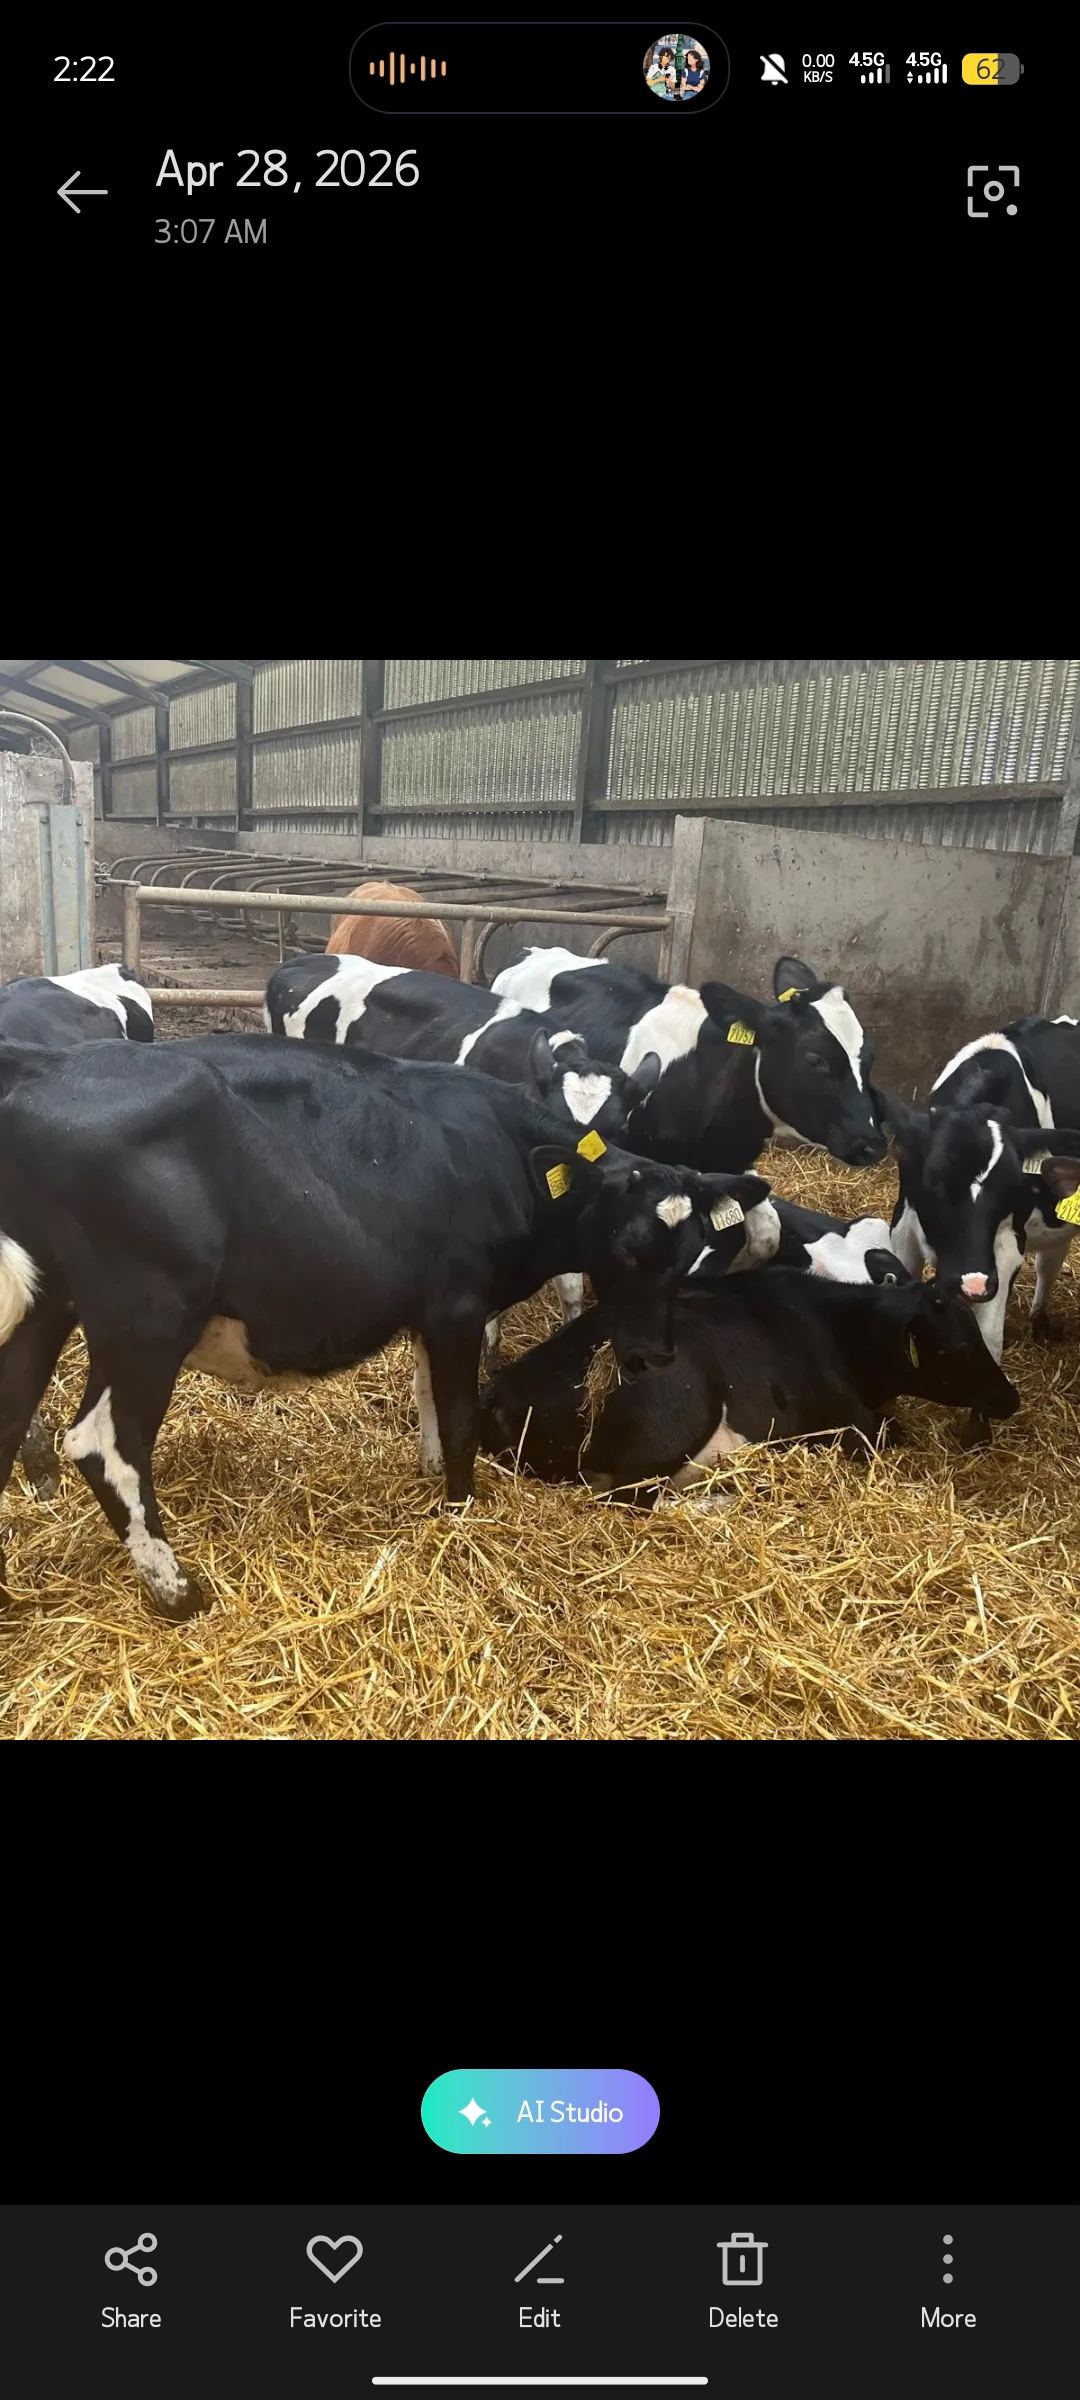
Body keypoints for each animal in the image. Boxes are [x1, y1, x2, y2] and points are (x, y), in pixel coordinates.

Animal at [0, 1034, 764, 1618]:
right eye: (626, 1246)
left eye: (691, 1250)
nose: (652, 1355)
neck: (500, 1155)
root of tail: (45, 1068)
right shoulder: (459, 1303)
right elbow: (458, 1414)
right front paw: (461, 1513)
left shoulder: (432, 1311)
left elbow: (428, 1399)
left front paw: (431, 1478)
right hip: (147, 1319)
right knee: (107, 1444)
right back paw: (179, 1591)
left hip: (45, 1306)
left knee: (11, 1420)